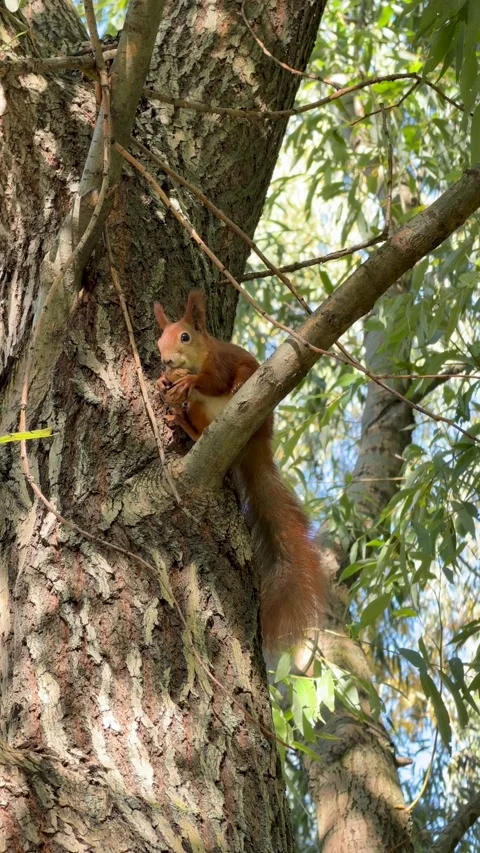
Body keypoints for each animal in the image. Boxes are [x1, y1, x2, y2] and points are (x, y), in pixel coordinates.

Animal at [154, 290, 326, 649]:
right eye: (159, 340)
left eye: (185, 337)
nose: (167, 362)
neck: (198, 357)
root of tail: (256, 445)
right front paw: (164, 382)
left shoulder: (219, 362)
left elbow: (213, 379)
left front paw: (189, 380)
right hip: (201, 411)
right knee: (199, 425)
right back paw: (185, 424)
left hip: (248, 392)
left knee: (236, 380)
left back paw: (234, 390)